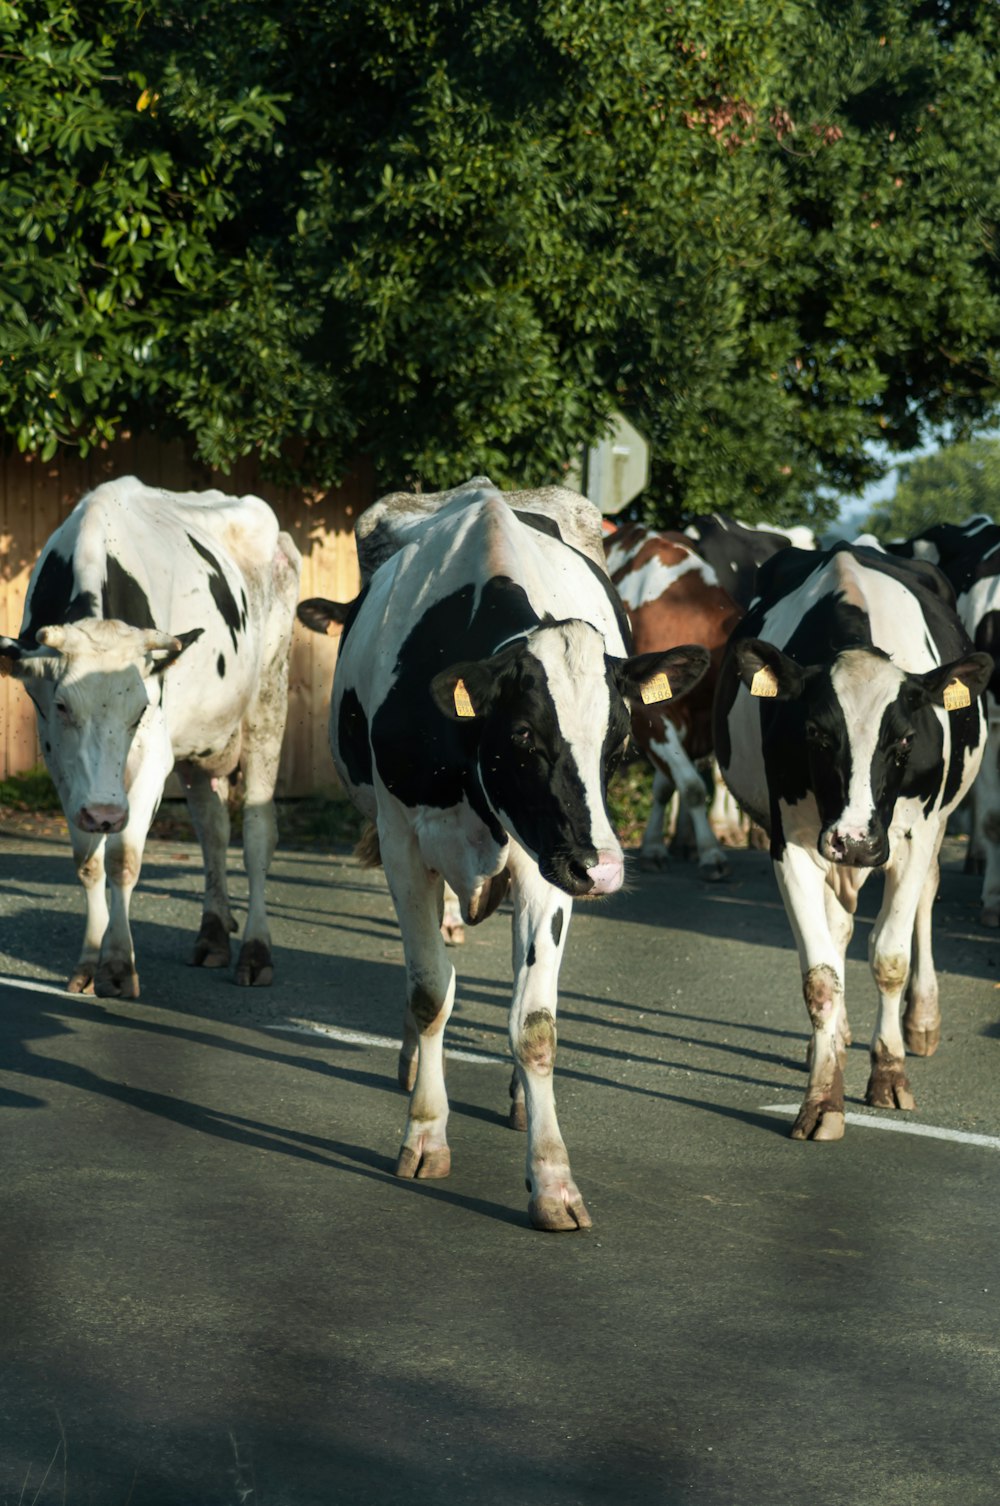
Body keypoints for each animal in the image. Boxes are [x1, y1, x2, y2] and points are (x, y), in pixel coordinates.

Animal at [0, 475, 301, 999]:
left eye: (140, 710)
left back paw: (255, 951)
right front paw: (89, 961)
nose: (104, 813)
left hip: (268, 697)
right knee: (212, 828)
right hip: (198, 744)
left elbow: (123, 858)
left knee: (258, 834)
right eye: (61, 707)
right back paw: (213, 935)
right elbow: (88, 862)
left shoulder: (154, 756)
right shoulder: (61, 764)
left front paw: (119, 965)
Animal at [308, 475, 707, 1228]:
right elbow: (430, 993)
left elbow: (535, 1023)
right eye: (523, 735)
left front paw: (552, 1180)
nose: (604, 869)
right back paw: (413, 1063)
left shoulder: (548, 864)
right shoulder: (405, 846)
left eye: (618, 742)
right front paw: (425, 1134)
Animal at [713, 542, 987, 1138]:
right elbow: (821, 976)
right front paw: (822, 1098)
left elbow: (890, 956)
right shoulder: (791, 843)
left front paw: (889, 1073)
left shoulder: (914, 835)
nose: (857, 840)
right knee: (837, 927)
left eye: (904, 739)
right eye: (816, 733)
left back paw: (921, 1021)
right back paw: (836, 1040)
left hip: (931, 828)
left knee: (925, 901)